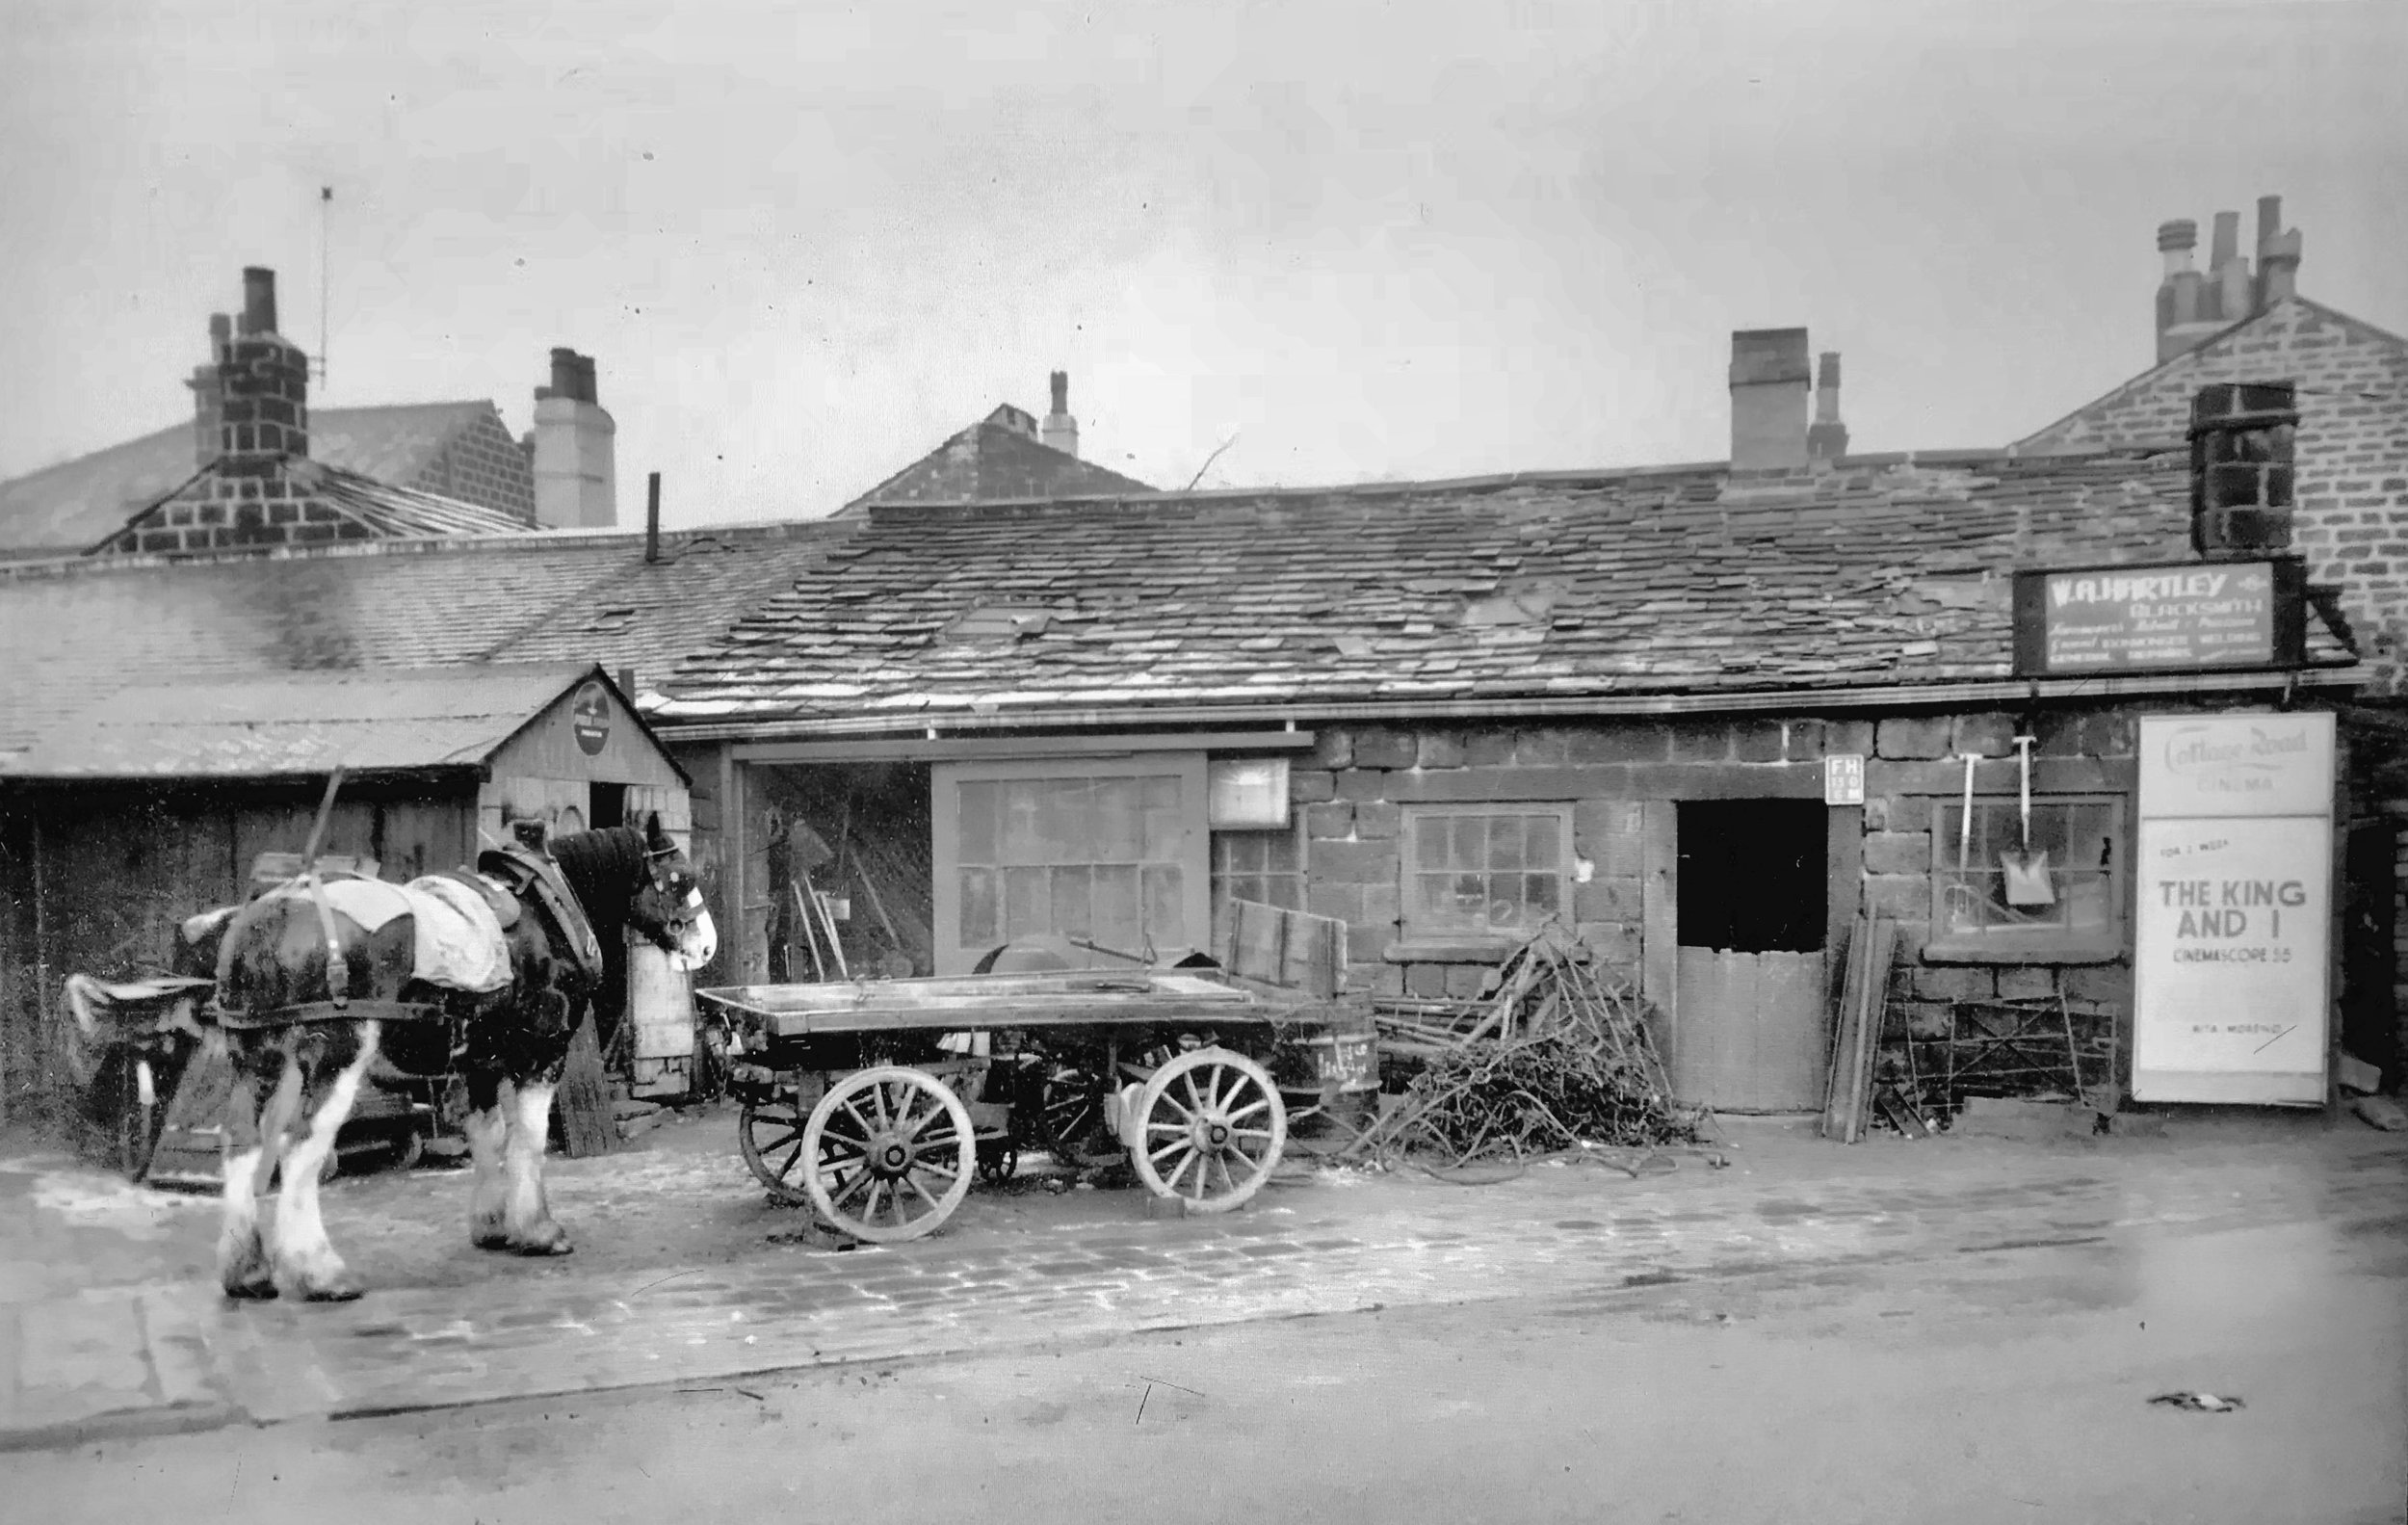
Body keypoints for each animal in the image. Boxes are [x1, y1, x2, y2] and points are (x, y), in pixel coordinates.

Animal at [190, 814, 713, 1301]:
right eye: (679, 878)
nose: (706, 945)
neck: (547, 910)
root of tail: (272, 917)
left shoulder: (481, 1061)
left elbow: (488, 1135)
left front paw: (493, 1225)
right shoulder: (543, 1054)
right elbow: (529, 1141)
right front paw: (540, 1231)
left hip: (257, 1060)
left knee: (242, 1144)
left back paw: (247, 1273)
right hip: (334, 1060)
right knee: (302, 1150)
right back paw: (321, 1274)